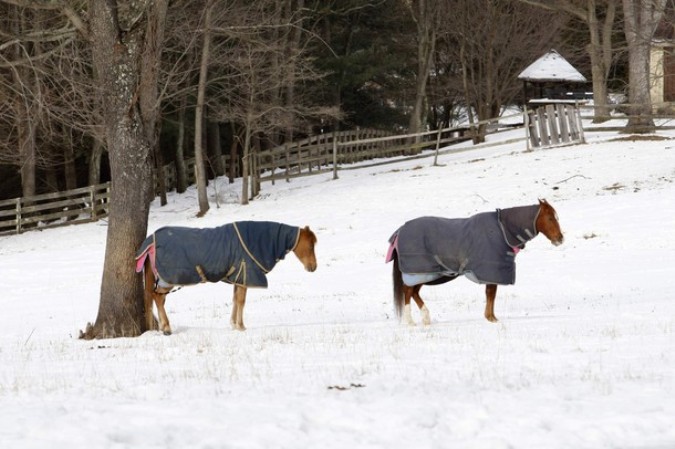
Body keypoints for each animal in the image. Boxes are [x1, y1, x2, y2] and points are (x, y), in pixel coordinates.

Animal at [137, 220, 320, 332]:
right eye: (311, 245)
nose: (313, 267)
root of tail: (151, 242)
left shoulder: (239, 278)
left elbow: (235, 300)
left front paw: (234, 324)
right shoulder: (245, 275)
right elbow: (241, 301)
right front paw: (241, 326)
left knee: (156, 298)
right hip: (167, 279)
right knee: (158, 298)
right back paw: (166, 328)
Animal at [386, 201, 564, 324]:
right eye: (550, 217)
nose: (560, 239)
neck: (502, 229)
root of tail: (400, 231)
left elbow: (491, 294)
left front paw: (491, 317)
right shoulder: (491, 270)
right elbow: (491, 294)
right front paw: (491, 319)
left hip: (426, 273)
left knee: (414, 292)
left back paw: (426, 317)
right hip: (418, 272)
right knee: (408, 292)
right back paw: (411, 322)